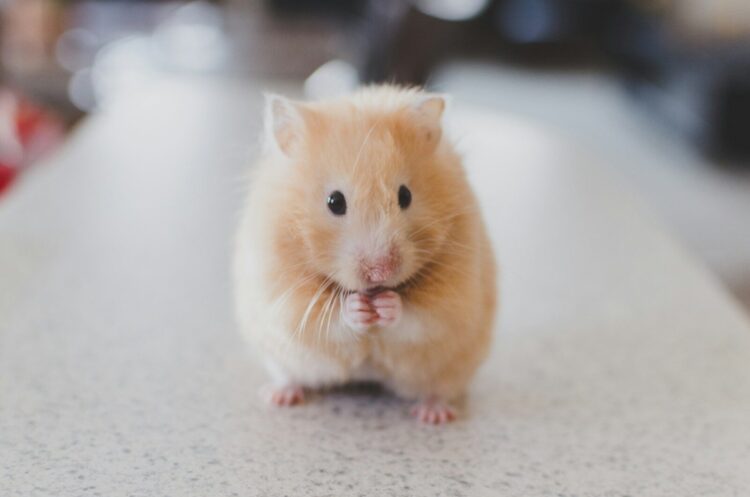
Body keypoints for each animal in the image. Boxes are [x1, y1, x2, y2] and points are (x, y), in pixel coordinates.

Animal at [233, 85, 497, 424]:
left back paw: (433, 415)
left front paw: (386, 305)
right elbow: (327, 317)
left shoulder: (454, 297)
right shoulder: (284, 295)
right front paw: (358, 308)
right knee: (289, 376)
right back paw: (279, 396)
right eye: (334, 202)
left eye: (405, 196)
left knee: (438, 389)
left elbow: (419, 316)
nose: (380, 272)